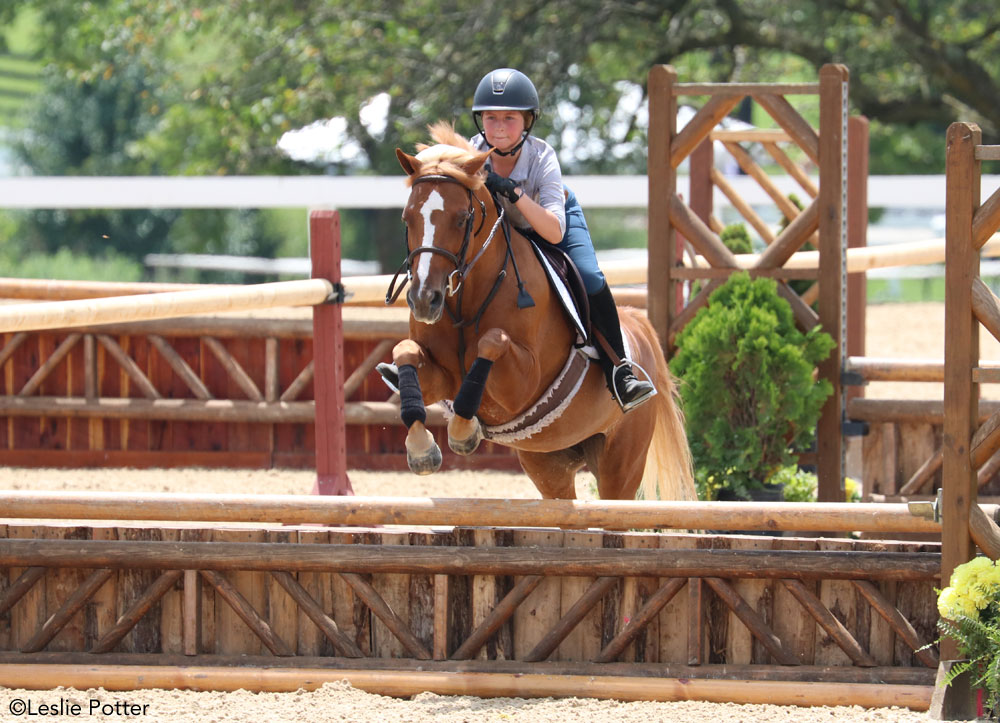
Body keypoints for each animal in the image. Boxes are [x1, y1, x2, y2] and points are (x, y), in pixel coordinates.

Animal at [386, 121, 692, 500]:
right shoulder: (442, 376)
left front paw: (462, 431)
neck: (467, 298)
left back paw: (629, 383)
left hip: (621, 462)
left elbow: (491, 341)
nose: (424, 300)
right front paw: (421, 448)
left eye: (461, 219)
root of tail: (636, 323)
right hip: (548, 464)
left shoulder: (522, 383)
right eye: (407, 218)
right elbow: (405, 351)